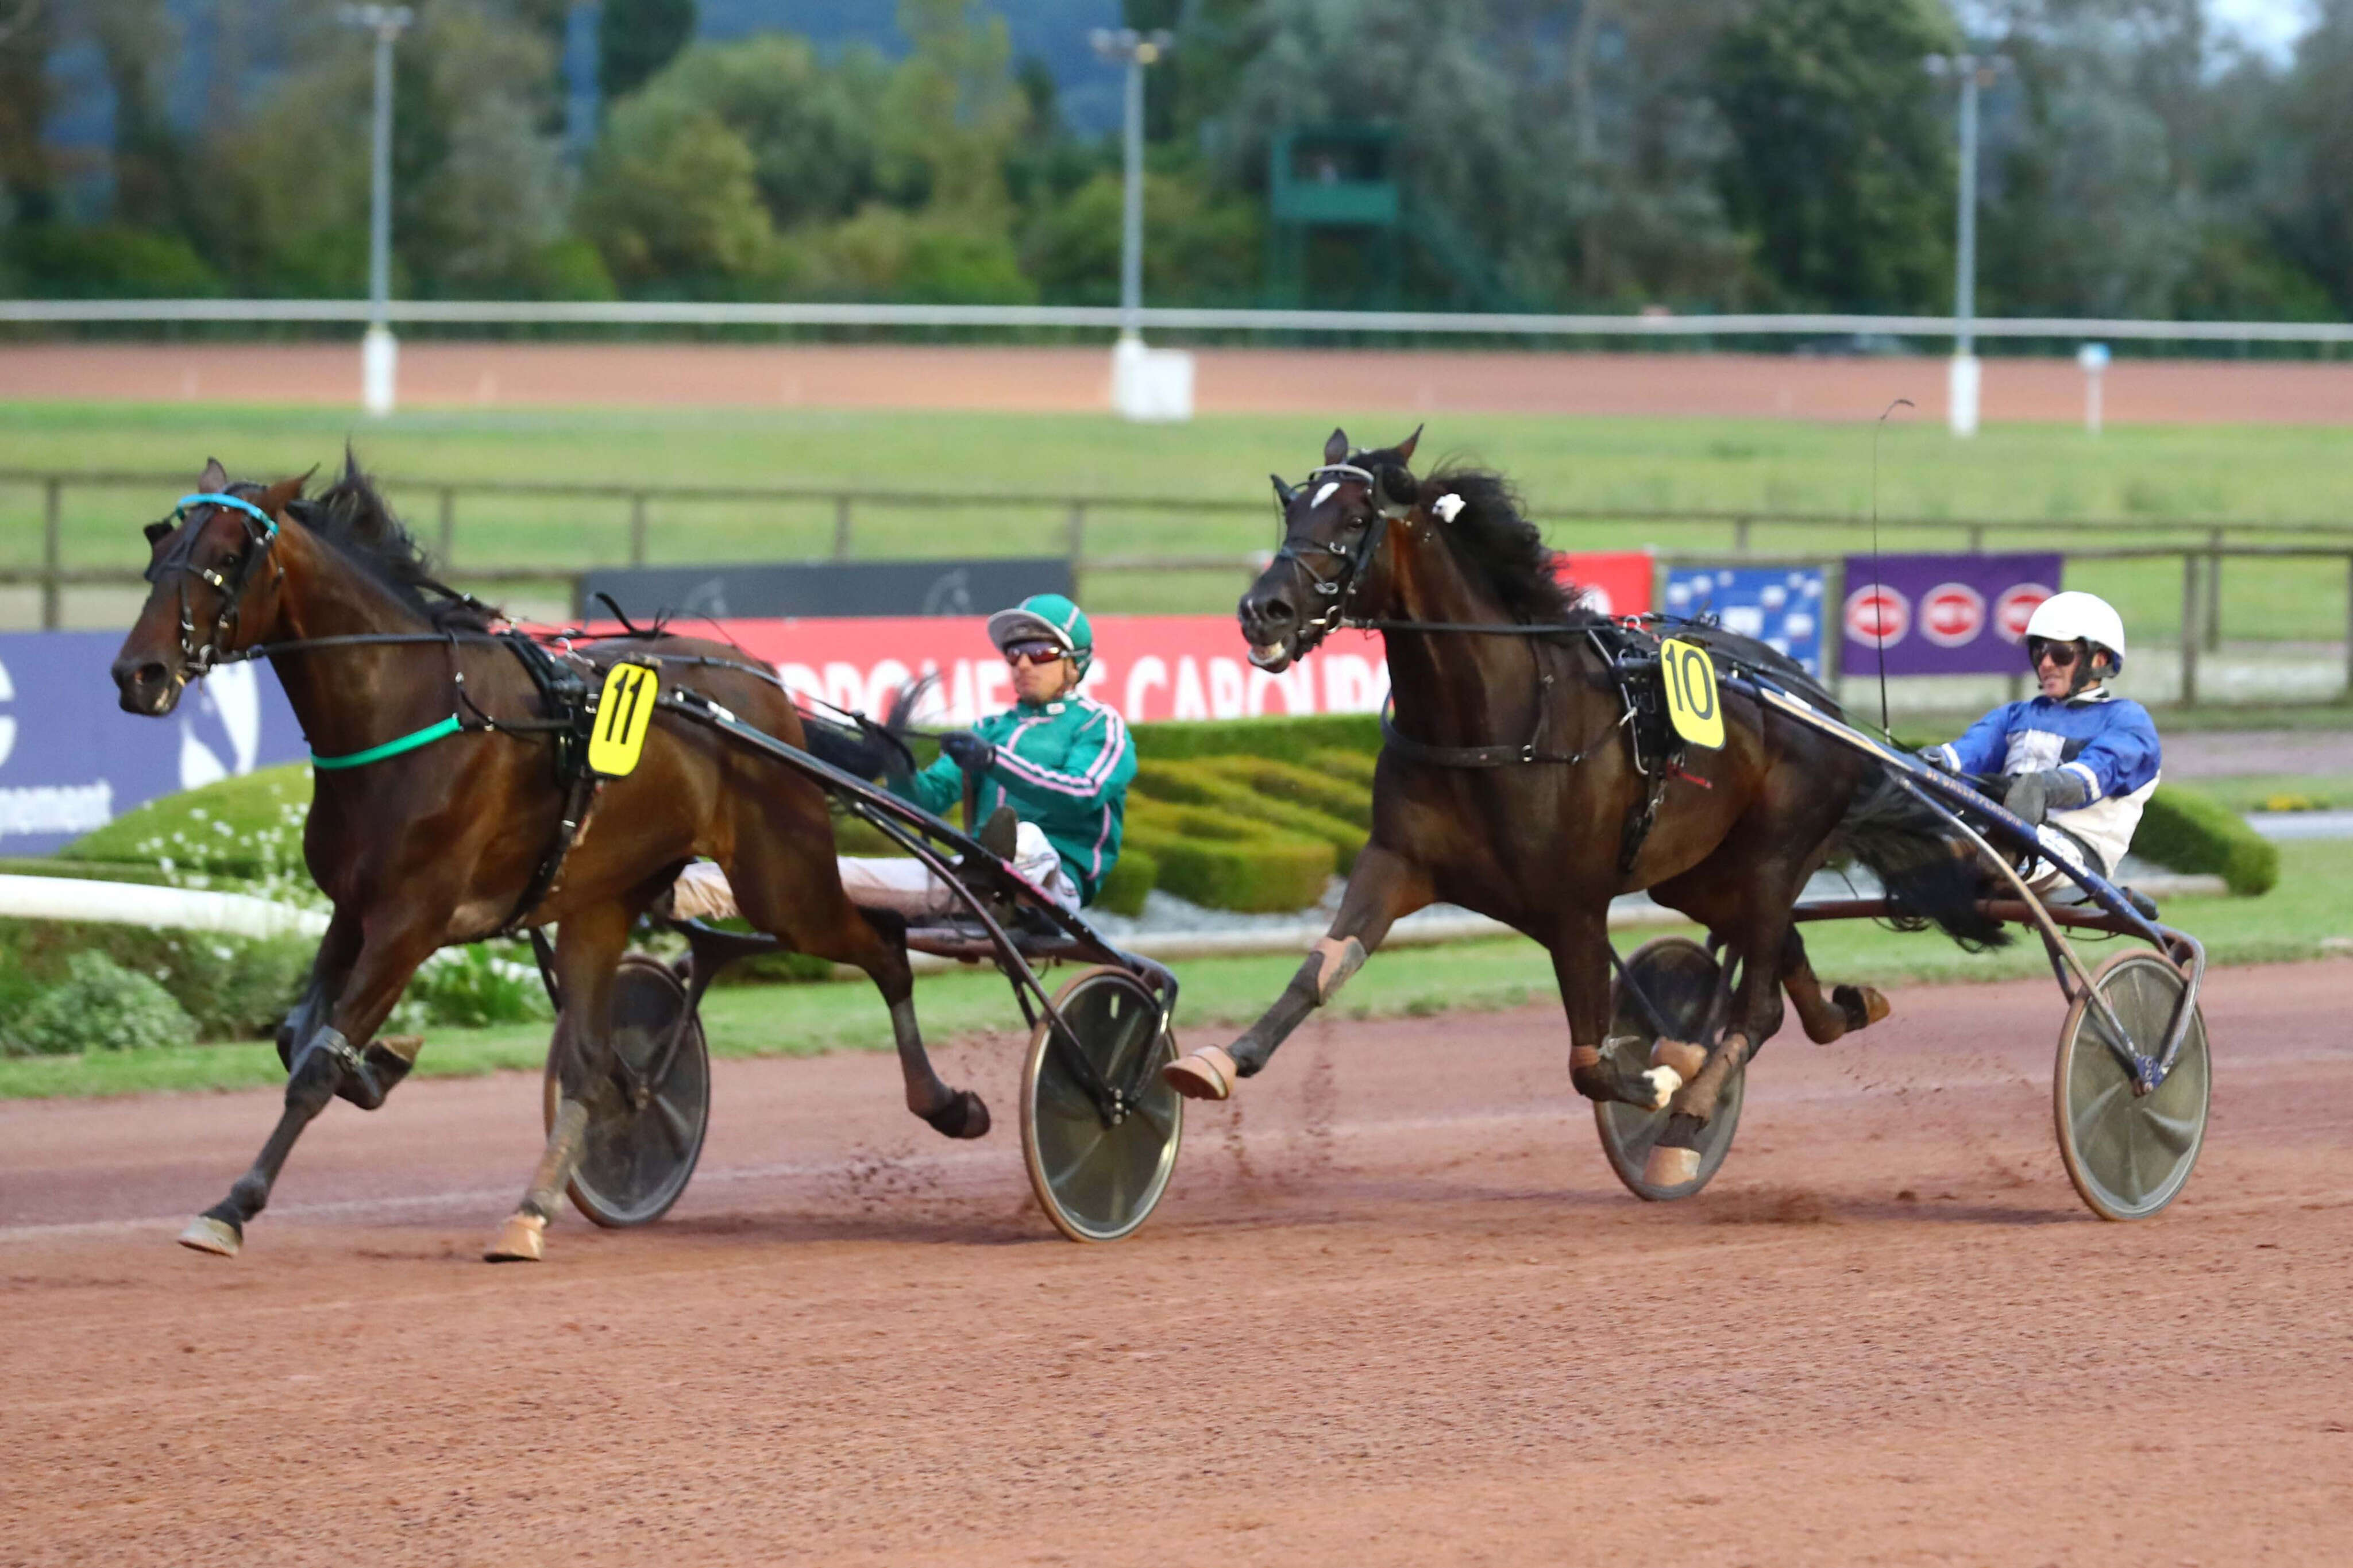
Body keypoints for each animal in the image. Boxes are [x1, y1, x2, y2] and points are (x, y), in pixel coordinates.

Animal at [103, 463, 974, 1260]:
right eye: (160, 542)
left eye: (228, 553)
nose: (137, 673)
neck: (412, 706)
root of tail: (762, 685)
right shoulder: (354, 908)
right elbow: (298, 1037)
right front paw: (378, 1065)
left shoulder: (410, 922)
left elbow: (315, 1067)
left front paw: (231, 1207)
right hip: (605, 899)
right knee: (594, 1064)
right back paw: (531, 1210)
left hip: (784, 883)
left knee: (886, 949)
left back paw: (948, 1102)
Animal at [1167, 430, 1995, 1189]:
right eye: (1291, 509)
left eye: (1356, 518)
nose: (1263, 610)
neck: (1498, 723)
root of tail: (1817, 699)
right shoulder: (1397, 861)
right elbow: (1321, 970)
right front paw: (1219, 1059)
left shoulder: (1575, 903)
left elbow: (1590, 1064)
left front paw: (1660, 1080)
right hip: (1702, 875)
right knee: (1786, 968)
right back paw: (1848, 1007)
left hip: (1772, 854)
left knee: (1758, 1009)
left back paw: (1687, 1121)